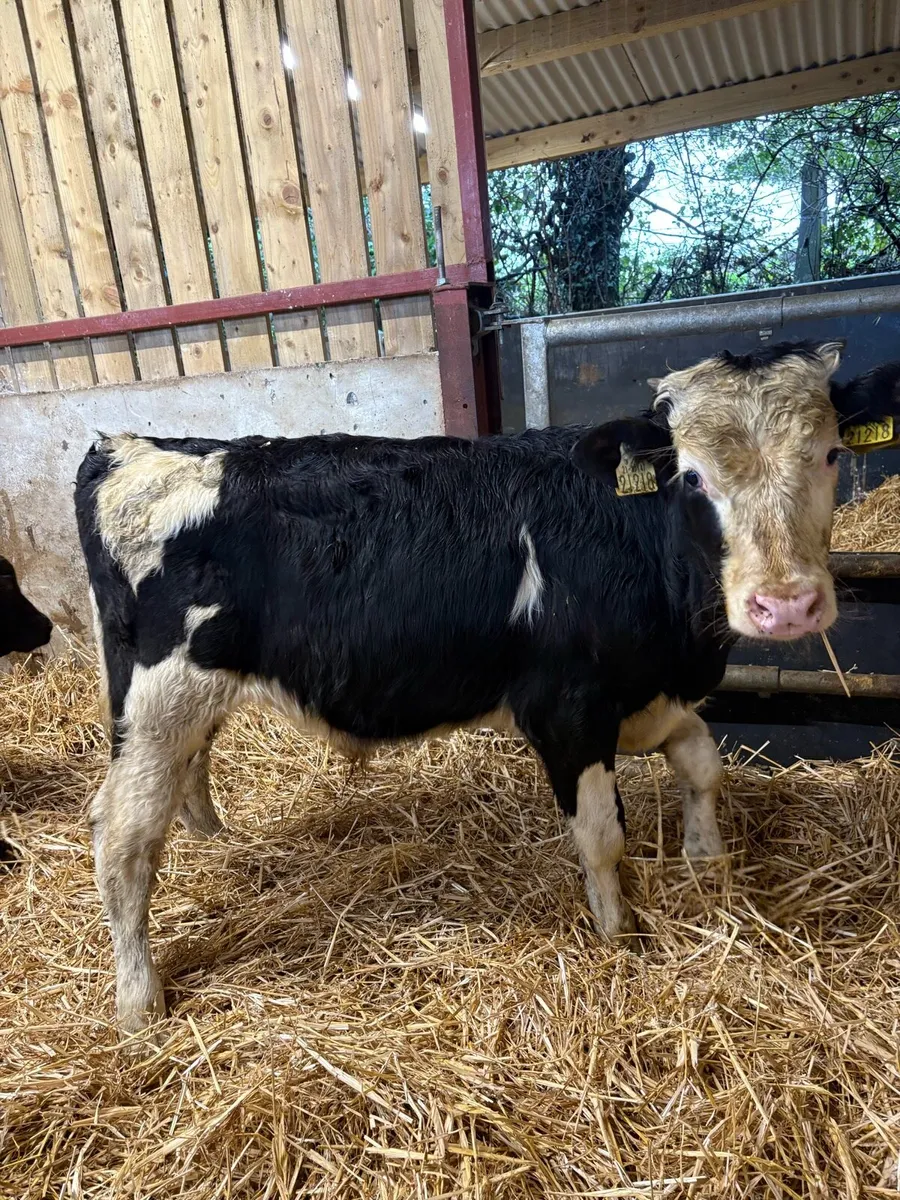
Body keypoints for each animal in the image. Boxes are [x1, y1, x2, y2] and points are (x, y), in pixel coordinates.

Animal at [74, 340, 899, 1033]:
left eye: (830, 454)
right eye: (691, 477)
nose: (785, 603)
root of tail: (130, 447)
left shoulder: (646, 695)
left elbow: (702, 762)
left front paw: (706, 861)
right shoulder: (567, 711)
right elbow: (602, 837)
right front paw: (619, 935)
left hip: (193, 701)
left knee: (189, 774)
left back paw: (217, 838)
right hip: (159, 699)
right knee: (122, 838)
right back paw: (139, 1001)